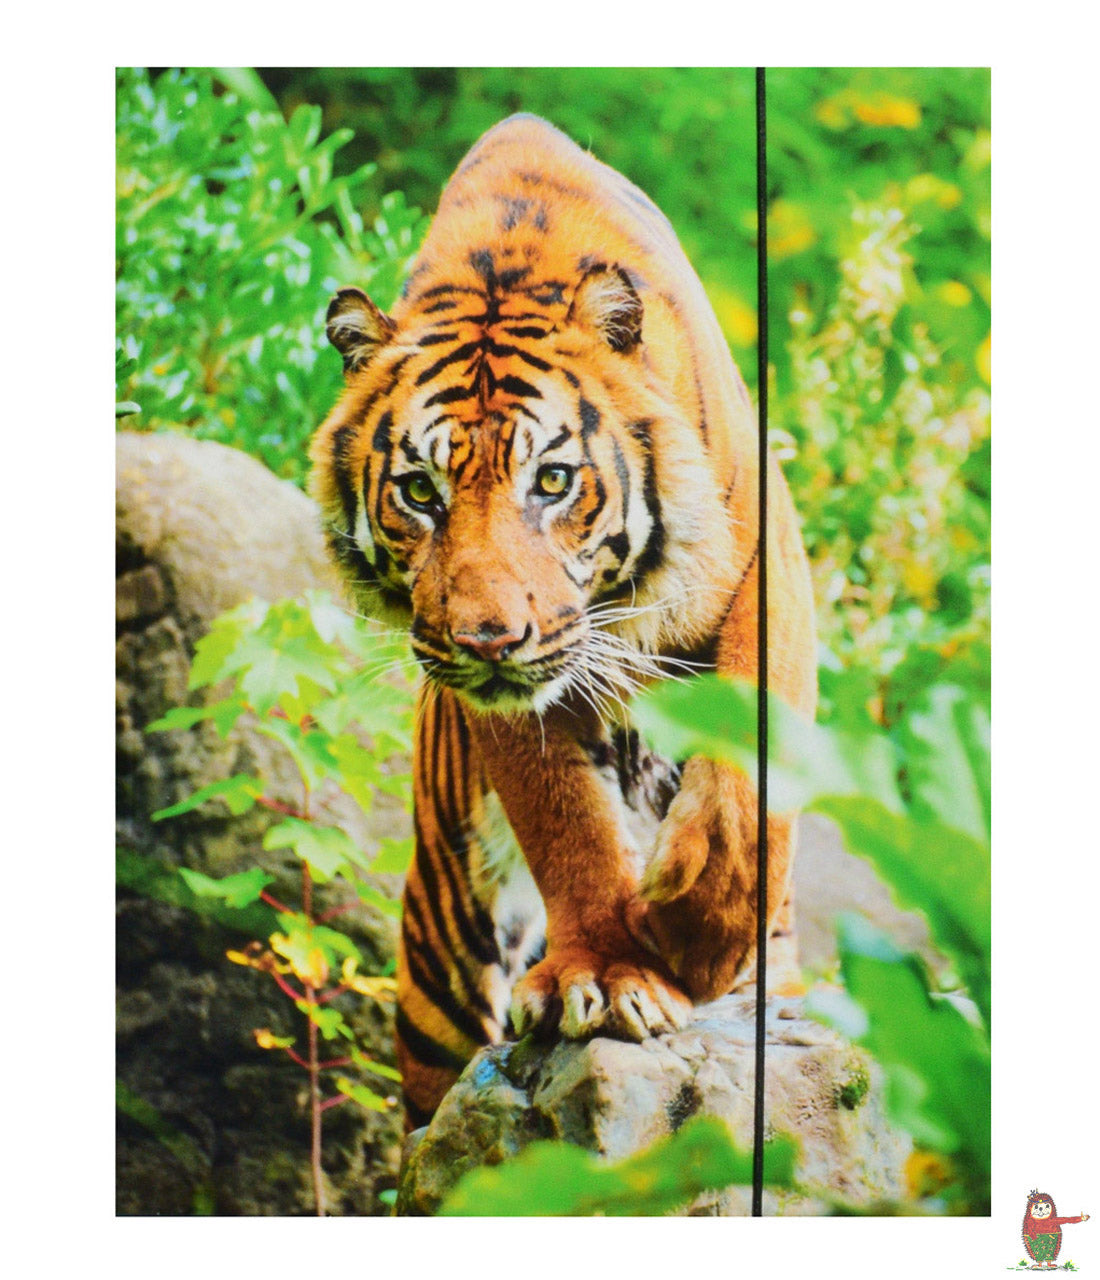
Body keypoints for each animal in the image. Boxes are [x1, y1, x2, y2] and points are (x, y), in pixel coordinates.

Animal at [309, 113, 817, 1130]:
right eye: (418, 492)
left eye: (550, 480)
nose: (487, 638)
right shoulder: (508, 688)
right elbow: (566, 818)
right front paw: (609, 973)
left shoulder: (767, 562)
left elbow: (745, 787)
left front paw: (695, 935)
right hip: (440, 965)